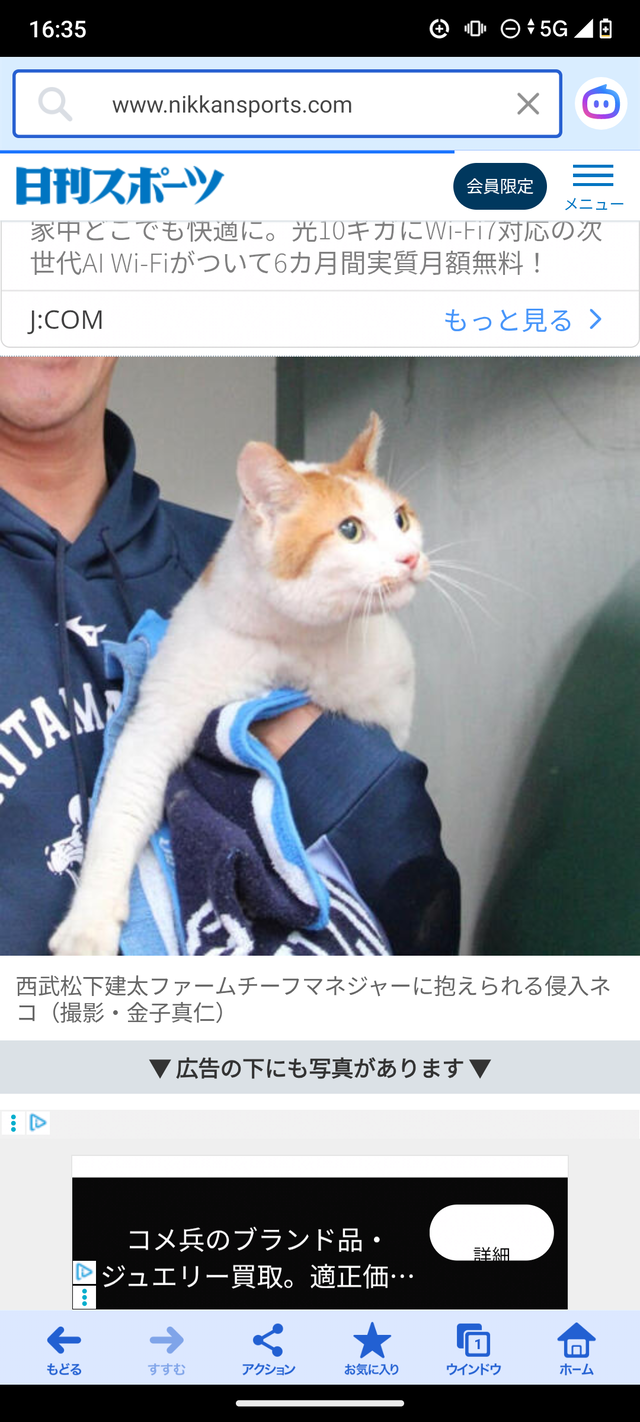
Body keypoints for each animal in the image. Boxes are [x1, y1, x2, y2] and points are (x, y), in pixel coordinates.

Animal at [49, 412, 429, 956]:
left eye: (401, 519)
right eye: (350, 530)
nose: (409, 558)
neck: (300, 643)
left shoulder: (392, 694)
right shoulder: (159, 719)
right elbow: (121, 809)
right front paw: (89, 923)